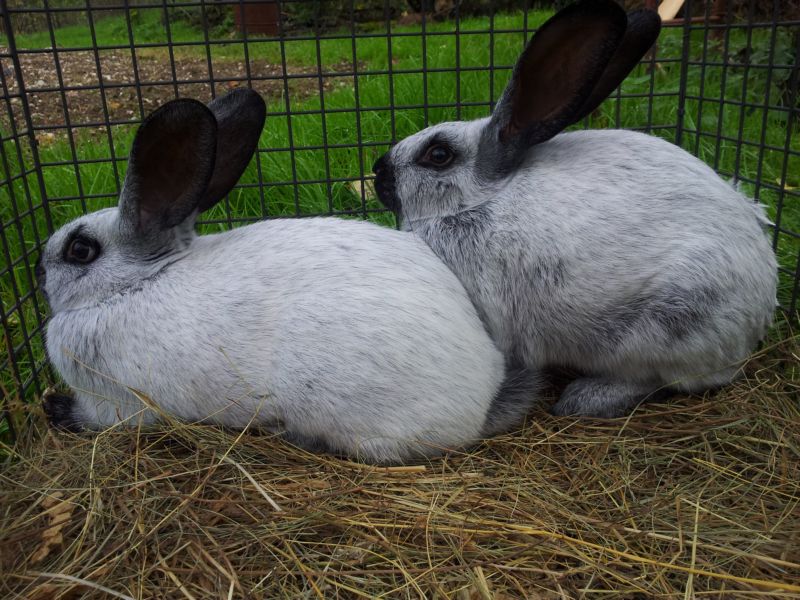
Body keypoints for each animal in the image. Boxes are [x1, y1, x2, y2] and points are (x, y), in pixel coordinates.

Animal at [35, 88, 540, 464]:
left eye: (80, 250)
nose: (38, 270)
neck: (134, 285)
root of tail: (483, 398)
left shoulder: (117, 404)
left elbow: (97, 419)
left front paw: (53, 407)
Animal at [372, 0, 778, 419]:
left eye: (438, 155)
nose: (377, 171)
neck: (481, 201)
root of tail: (761, 310)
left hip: (663, 326)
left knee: (659, 379)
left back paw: (585, 398)